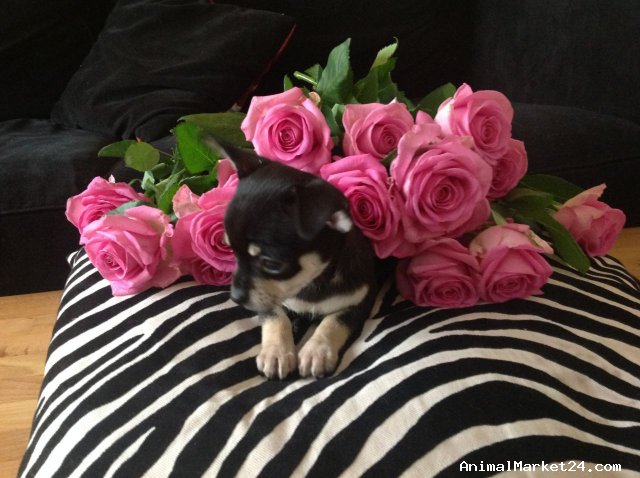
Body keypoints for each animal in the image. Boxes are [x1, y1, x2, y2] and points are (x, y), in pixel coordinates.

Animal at [217, 143, 377, 379]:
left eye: (272, 264)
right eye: (232, 251)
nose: (236, 297)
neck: (311, 283)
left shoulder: (360, 302)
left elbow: (333, 322)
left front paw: (317, 351)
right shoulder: (266, 300)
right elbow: (276, 316)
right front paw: (276, 352)